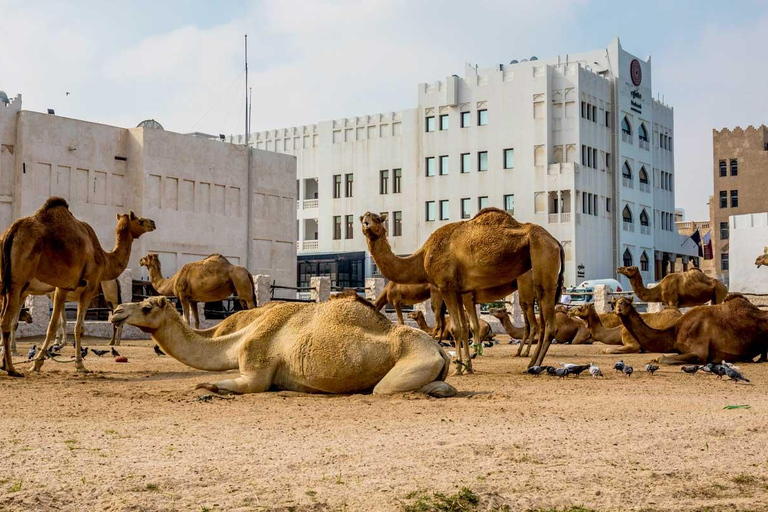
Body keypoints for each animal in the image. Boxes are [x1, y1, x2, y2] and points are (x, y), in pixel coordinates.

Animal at [0, 197, 156, 376]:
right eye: (140, 220)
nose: (153, 222)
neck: (105, 259)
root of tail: (11, 232)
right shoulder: (86, 288)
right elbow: (76, 327)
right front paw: (79, 364)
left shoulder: (62, 288)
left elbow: (54, 325)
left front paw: (40, 361)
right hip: (17, 280)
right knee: (5, 320)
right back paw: (11, 368)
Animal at [108, 292, 456, 396]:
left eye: (147, 307)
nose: (116, 311)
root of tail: (439, 347)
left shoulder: (256, 368)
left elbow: (243, 384)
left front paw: (209, 386)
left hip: (414, 360)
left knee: (385, 389)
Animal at [360, 208, 564, 372]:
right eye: (362, 217)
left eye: (377, 218)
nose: (366, 224)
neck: (423, 256)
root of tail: (556, 241)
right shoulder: (459, 291)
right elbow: (466, 328)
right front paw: (467, 365)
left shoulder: (446, 286)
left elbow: (456, 328)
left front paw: (458, 367)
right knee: (542, 321)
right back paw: (531, 362)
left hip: (542, 257)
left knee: (547, 323)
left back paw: (533, 364)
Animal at [612, 294, 768, 366]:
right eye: (616, 302)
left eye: (626, 303)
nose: (618, 308)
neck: (675, 332)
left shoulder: (699, 352)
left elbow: (664, 359)